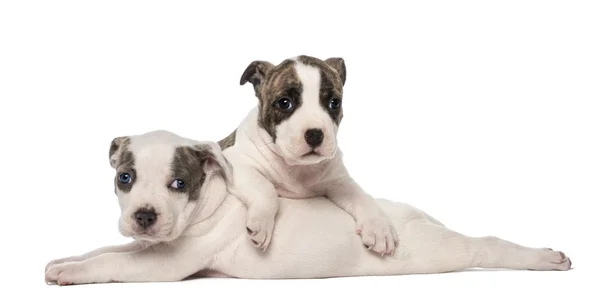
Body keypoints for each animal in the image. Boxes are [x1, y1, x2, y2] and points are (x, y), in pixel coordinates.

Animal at [43, 131, 572, 288]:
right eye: (124, 178)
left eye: (179, 184)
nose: (145, 216)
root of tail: (409, 220)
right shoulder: (148, 245)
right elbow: (106, 249)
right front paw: (64, 260)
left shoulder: (166, 263)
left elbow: (113, 263)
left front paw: (72, 274)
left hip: (443, 249)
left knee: (486, 245)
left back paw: (544, 257)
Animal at [220, 55, 398, 256]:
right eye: (284, 103)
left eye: (334, 103)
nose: (315, 134)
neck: (298, 167)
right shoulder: (235, 163)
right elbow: (267, 189)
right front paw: (261, 222)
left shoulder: (340, 182)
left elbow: (363, 196)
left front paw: (379, 227)